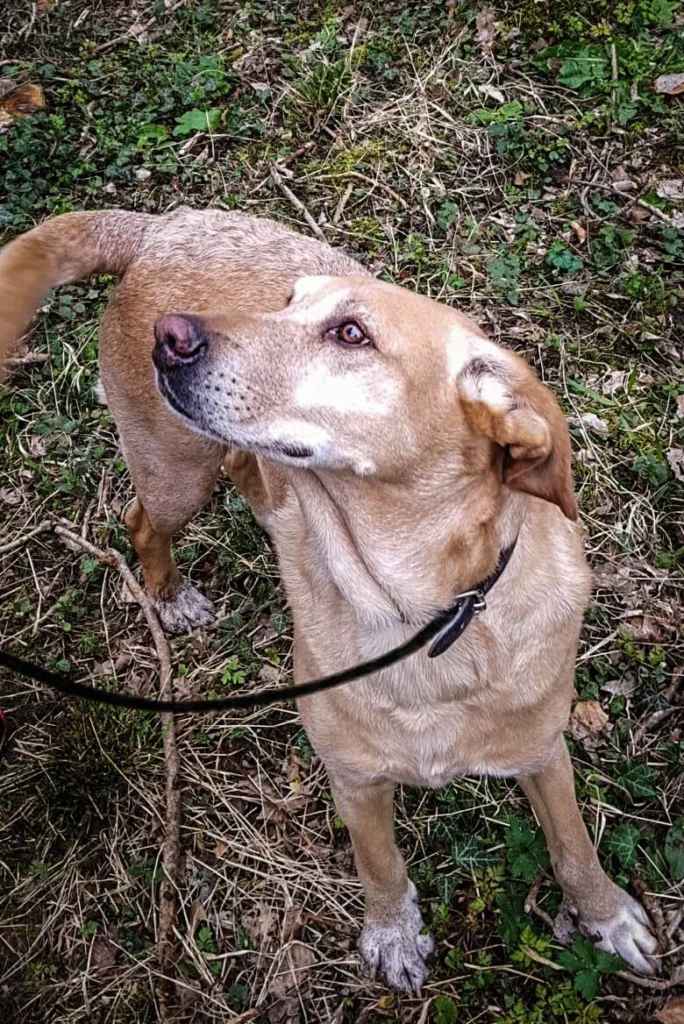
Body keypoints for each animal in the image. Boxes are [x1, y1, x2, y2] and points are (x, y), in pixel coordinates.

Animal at [0, 209, 655, 991]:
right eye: (286, 302)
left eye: (351, 333)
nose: (171, 335)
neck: (417, 618)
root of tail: (160, 226)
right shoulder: (355, 780)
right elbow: (380, 866)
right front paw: (394, 936)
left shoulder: (543, 752)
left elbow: (574, 845)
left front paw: (607, 917)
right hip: (175, 470)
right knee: (140, 521)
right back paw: (170, 594)